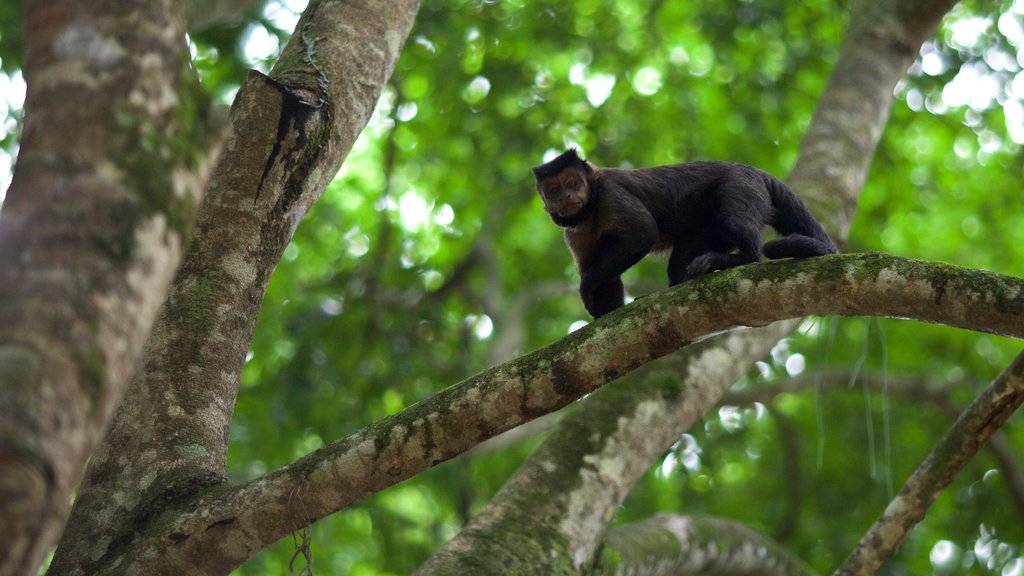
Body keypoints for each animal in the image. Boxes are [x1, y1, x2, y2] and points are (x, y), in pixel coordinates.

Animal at [532, 147, 835, 317]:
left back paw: (742, 258)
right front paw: (605, 310)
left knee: (736, 222)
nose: (567, 195)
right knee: (680, 263)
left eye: (572, 182)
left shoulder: (610, 192)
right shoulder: (574, 233)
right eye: (554, 189)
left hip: (744, 185)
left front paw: (586, 287)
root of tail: (755, 171)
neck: (592, 208)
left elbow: (642, 233)